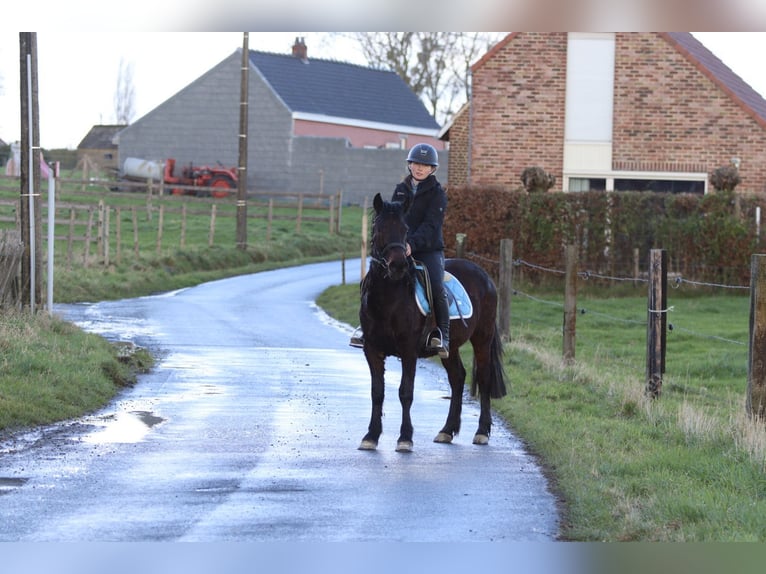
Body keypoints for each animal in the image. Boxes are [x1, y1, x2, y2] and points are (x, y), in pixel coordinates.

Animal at [358, 192, 507, 452]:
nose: (398, 266)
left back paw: (481, 432)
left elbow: (405, 392)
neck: (389, 297)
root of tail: (484, 275)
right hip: (450, 346)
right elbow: (377, 392)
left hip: (482, 338)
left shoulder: (408, 350)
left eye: (405, 229)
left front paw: (405, 438)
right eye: (378, 228)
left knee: (484, 378)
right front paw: (371, 436)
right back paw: (447, 431)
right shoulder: (372, 349)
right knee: (458, 378)